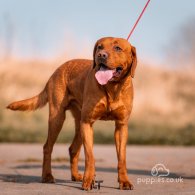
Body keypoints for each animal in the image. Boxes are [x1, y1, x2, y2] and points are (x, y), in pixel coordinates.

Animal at [6, 37, 137, 190]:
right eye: (99, 47)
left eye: (118, 48)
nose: (101, 55)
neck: (112, 88)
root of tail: (56, 71)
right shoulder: (87, 123)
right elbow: (90, 156)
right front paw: (88, 180)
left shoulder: (121, 126)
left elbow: (122, 158)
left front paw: (124, 181)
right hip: (58, 119)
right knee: (47, 147)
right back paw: (47, 176)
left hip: (79, 124)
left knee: (73, 149)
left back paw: (75, 176)